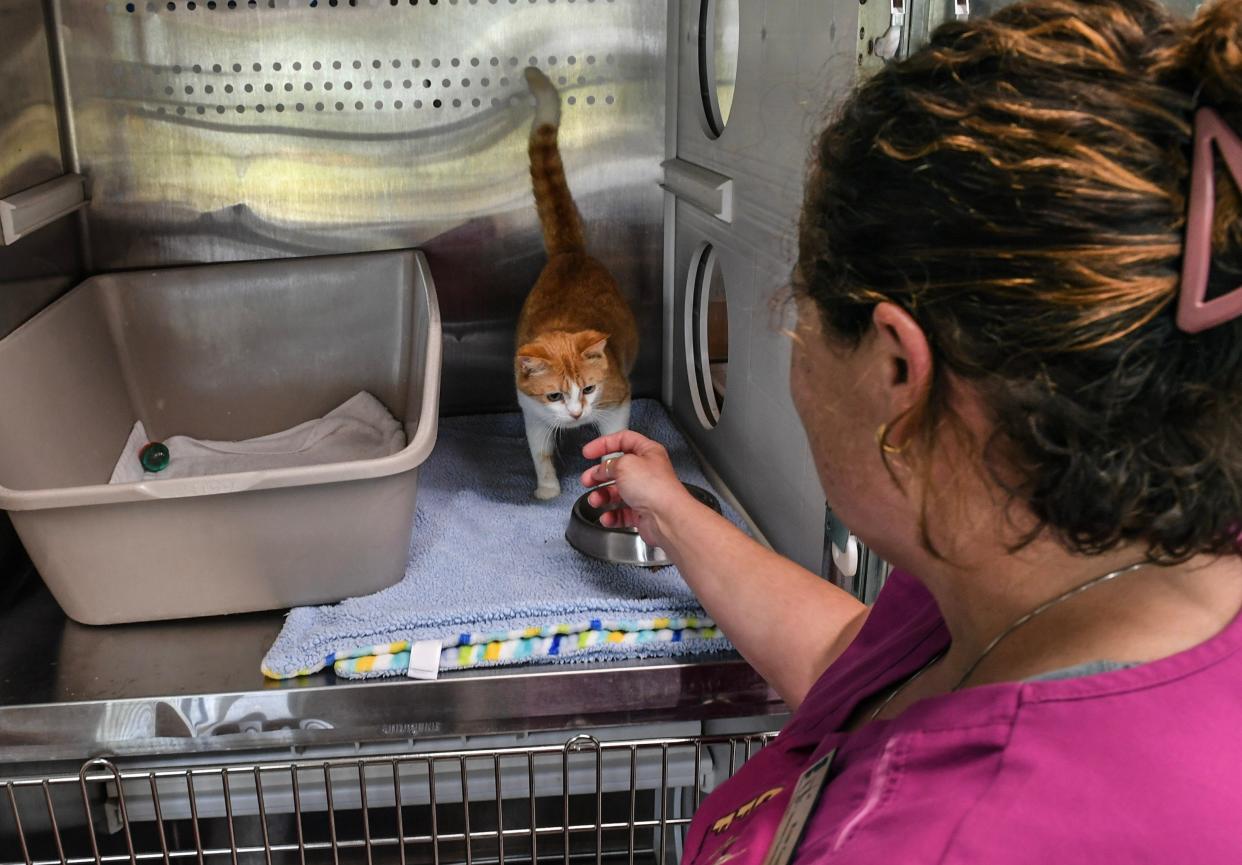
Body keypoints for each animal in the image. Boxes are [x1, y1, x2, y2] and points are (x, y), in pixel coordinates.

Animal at [514, 69, 635, 499]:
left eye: (588, 389)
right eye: (554, 395)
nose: (577, 413)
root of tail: (568, 252)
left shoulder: (617, 401)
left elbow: (612, 445)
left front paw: (612, 478)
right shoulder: (532, 412)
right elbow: (540, 451)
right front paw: (547, 488)